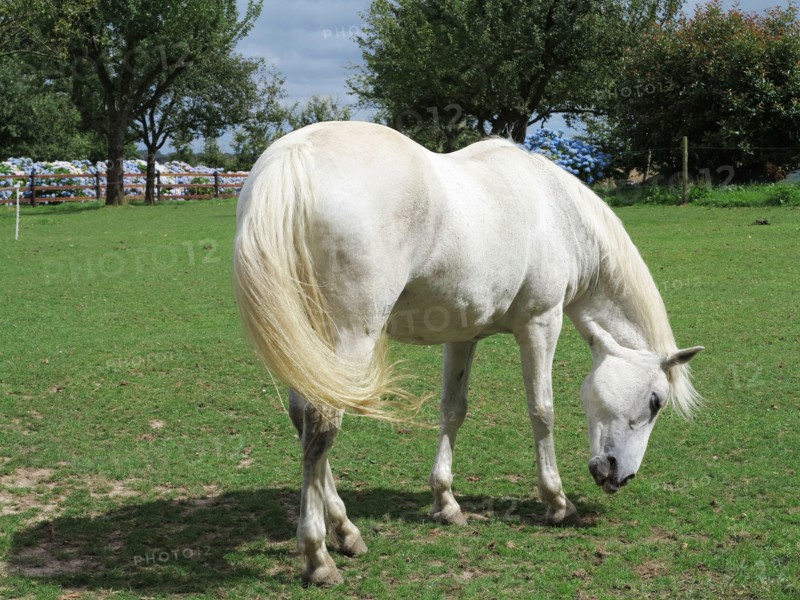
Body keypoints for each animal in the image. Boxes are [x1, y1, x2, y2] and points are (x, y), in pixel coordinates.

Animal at [233, 121, 703, 585]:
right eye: (656, 401)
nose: (617, 474)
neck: (557, 211)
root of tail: (295, 155)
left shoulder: (462, 336)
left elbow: (453, 409)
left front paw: (446, 502)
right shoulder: (540, 324)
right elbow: (542, 410)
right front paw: (557, 501)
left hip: (312, 345)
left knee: (304, 419)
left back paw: (346, 531)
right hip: (350, 337)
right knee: (322, 423)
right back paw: (318, 557)